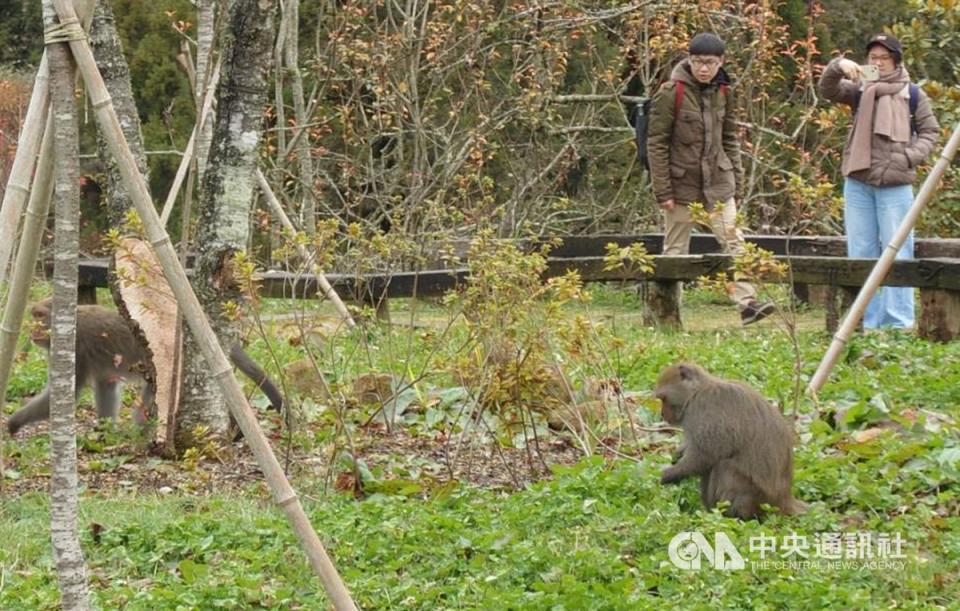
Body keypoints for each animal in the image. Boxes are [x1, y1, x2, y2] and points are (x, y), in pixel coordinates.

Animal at [656, 364, 808, 520]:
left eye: (663, 398)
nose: (662, 414)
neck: (697, 392)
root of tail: (784, 499)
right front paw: (677, 454)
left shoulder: (703, 409)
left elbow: (703, 458)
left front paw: (665, 476)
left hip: (759, 498)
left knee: (723, 467)